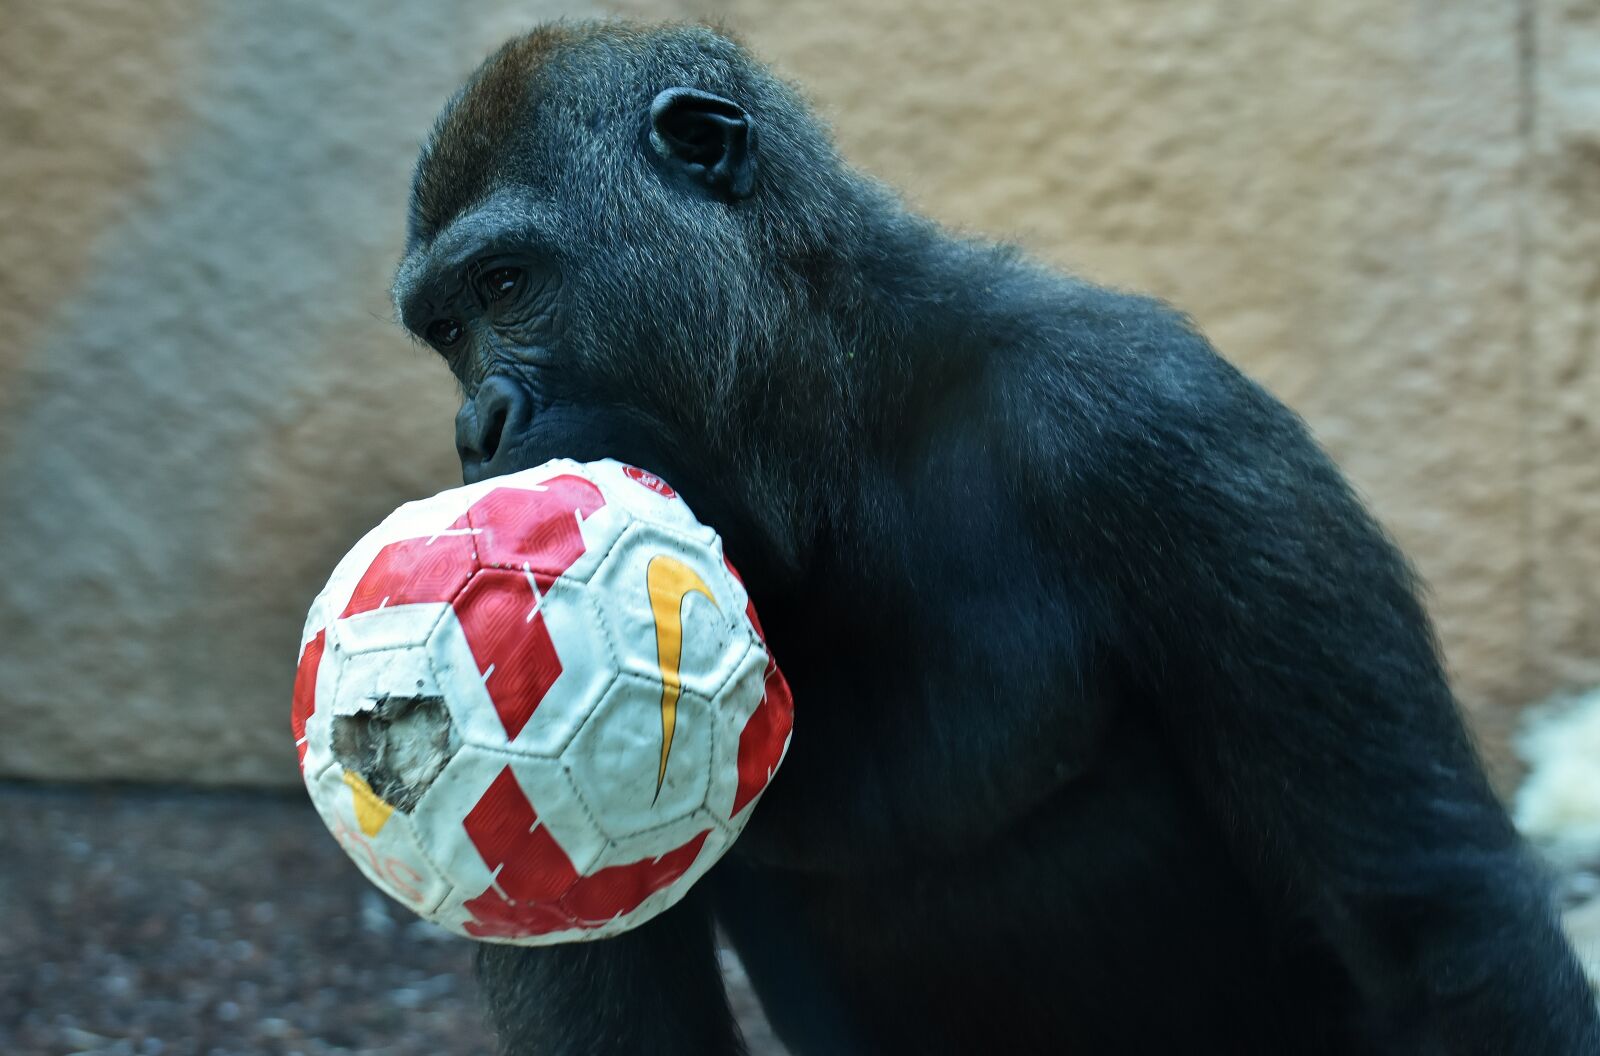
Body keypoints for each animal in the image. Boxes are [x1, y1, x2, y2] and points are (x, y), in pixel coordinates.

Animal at [389, 21, 1600, 1055]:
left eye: (509, 282)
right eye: (445, 331)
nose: (474, 427)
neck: (835, 412)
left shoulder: (1165, 426)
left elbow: (1434, 921)